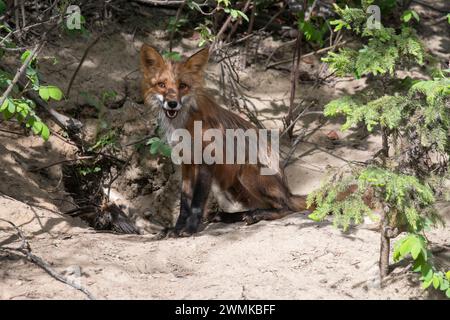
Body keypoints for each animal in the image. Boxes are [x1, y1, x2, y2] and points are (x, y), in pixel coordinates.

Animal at [139, 44, 312, 235]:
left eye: (182, 86)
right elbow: (185, 202)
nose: (172, 104)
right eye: (161, 85)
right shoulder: (187, 163)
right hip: (230, 185)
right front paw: (177, 229)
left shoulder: (207, 160)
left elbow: (197, 202)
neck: (185, 124)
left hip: (247, 172)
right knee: (258, 206)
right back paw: (231, 216)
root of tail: (288, 190)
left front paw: (190, 229)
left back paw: (257, 215)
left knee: (285, 207)